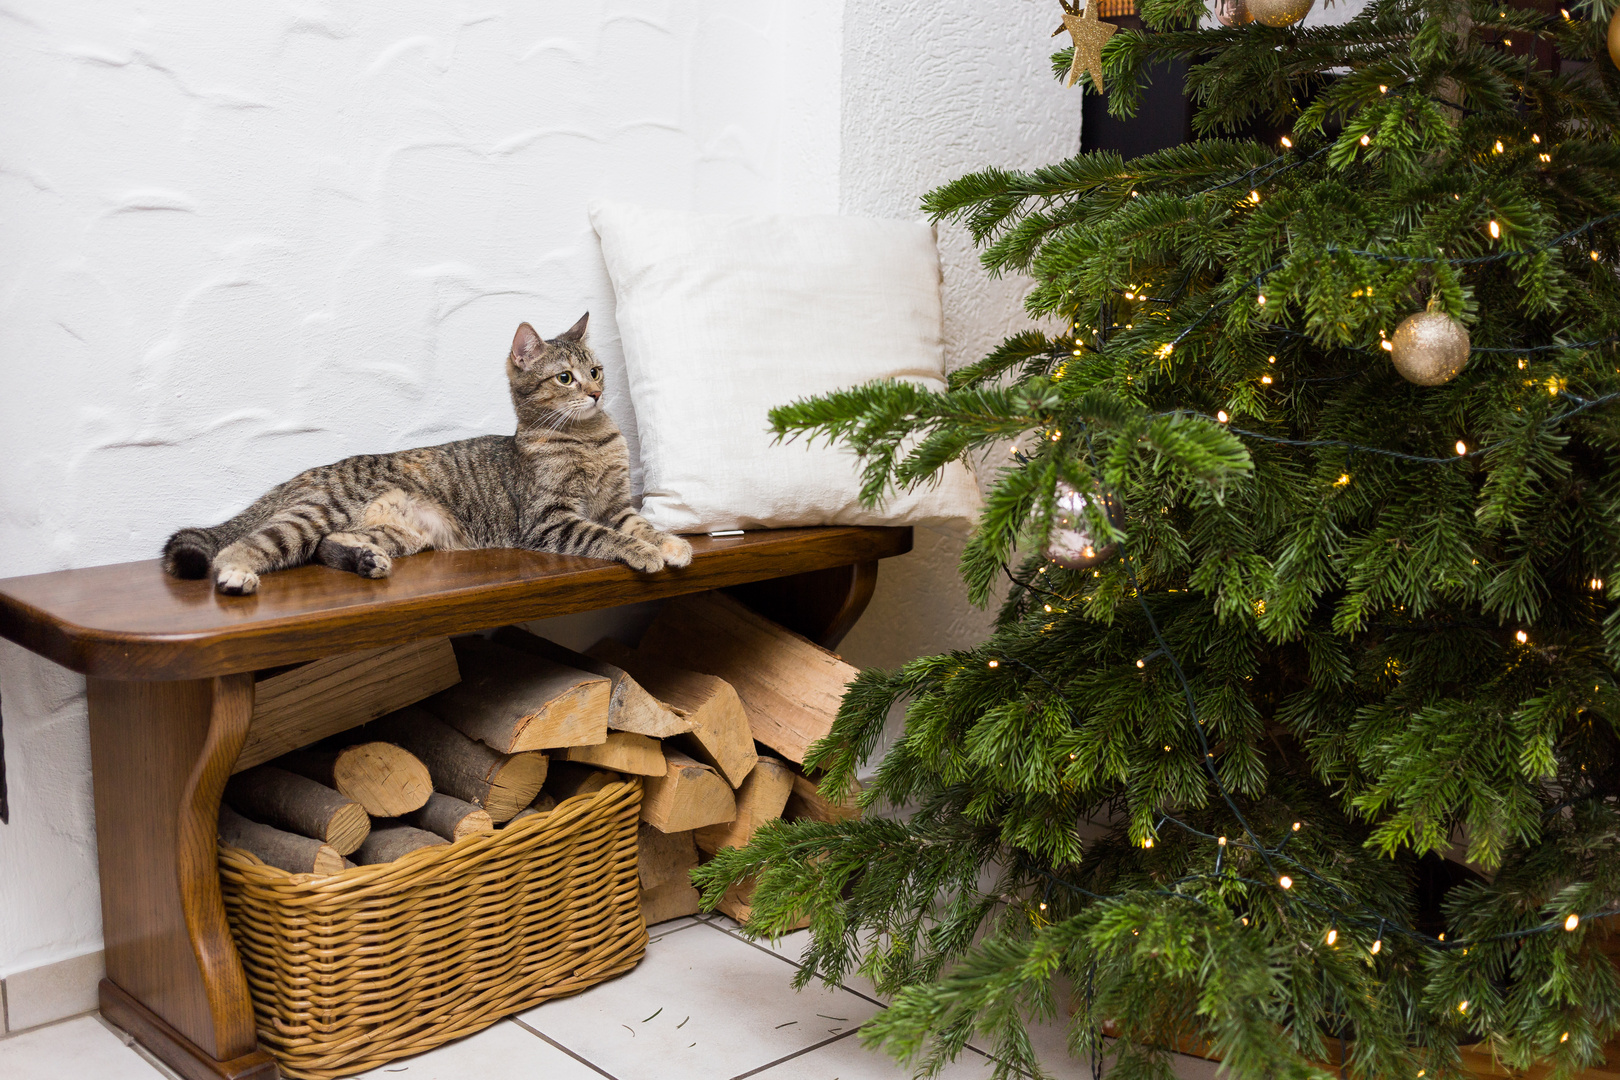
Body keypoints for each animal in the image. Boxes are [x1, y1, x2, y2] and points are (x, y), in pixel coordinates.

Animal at [162, 312, 690, 599]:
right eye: (565, 379)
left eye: (597, 371)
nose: (597, 394)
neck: (589, 436)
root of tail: (313, 472)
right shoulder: (550, 519)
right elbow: (605, 536)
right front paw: (644, 553)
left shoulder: (615, 503)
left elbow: (639, 522)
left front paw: (669, 543)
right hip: (319, 512)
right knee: (243, 546)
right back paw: (236, 573)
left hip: (400, 533)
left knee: (325, 545)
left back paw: (365, 560)